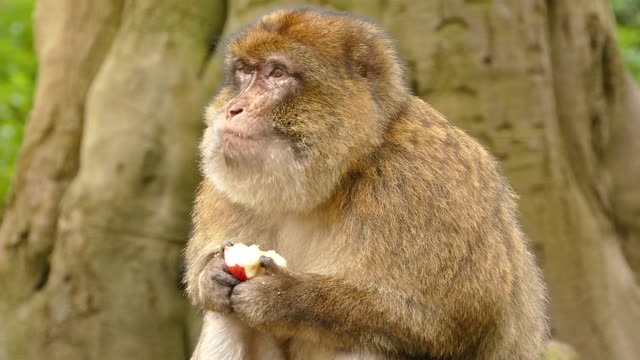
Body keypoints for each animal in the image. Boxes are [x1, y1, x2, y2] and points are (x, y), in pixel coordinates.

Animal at [182, 6, 548, 360]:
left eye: (277, 73)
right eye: (245, 71)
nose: (233, 109)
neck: (340, 175)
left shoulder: (426, 183)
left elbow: (451, 320)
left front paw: (285, 296)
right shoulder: (225, 190)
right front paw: (210, 276)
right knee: (227, 318)